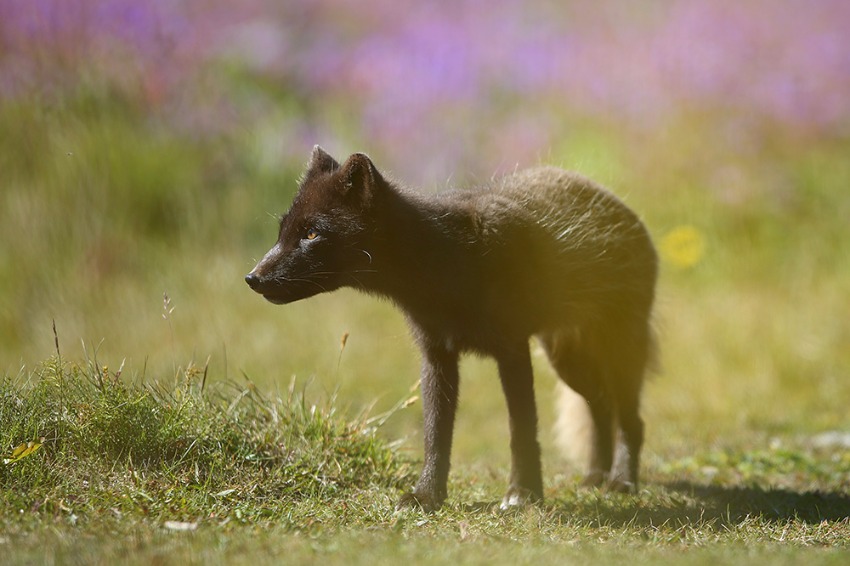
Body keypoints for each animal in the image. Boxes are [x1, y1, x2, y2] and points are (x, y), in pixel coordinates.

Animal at [245, 148, 656, 516]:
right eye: (282, 231)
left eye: (312, 233)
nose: (252, 278)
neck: (450, 262)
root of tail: (618, 203)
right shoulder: (437, 355)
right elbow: (435, 436)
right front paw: (427, 496)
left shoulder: (512, 349)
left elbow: (521, 431)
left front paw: (522, 496)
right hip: (567, 361)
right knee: (601, 407)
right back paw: (594, 479)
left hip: (616, 354)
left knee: (631, 420)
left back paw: (621, 482)